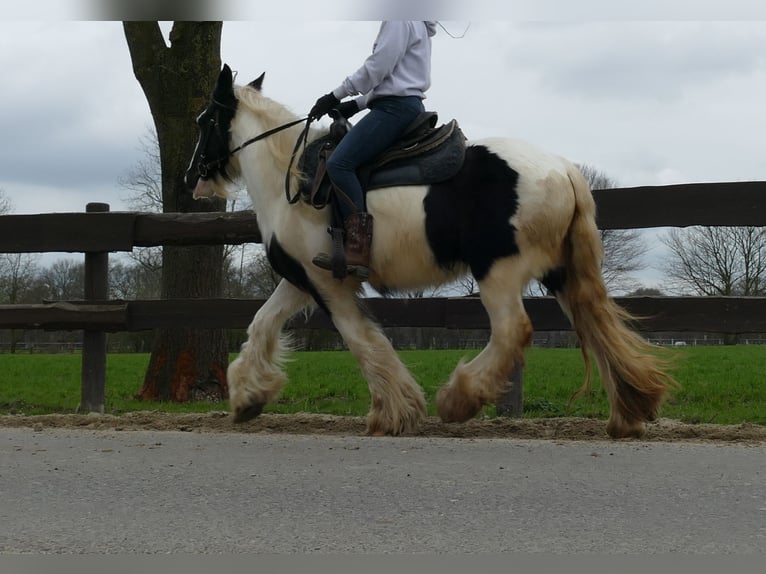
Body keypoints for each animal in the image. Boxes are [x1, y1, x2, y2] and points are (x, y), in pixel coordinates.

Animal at [186, 64, 680, 440]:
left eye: (205, 121)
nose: (193, 177)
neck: (292, 179)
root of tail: (563, 169)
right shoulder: (301, 280)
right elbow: (262, 322)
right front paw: (247, 397)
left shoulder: (328, 283)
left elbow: (362, 342)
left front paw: (394, 413)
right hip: (560, 272)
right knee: (595, 325)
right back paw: (630, 411)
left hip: (499, 271)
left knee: (513, 331)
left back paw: (458, 399)